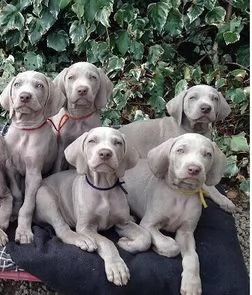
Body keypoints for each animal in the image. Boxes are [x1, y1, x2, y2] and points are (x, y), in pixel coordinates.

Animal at [0, 71, 65, 245]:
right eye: (17, 84)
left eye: (39, 85)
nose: (24, 96)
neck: (25, 130)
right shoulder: (10, 167)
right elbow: (16, 194)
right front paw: (14, 211)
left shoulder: (34, 174)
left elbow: (28, 206)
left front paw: (23, 231)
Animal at [34, 127, 151, 286]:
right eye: (92, 141)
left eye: (117, 142)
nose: (105, 153)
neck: (103, 189)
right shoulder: (85, 228)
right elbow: (106, 242)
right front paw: (117, 267)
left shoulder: (123, 223)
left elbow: (146, 238)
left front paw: (126, 243)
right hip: (46, 197)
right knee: (62, 229)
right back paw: (82, 240)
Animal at [124, 134, 230, 295]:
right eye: (180, 150)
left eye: (207, 154)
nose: (194, 169)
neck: (181, 194)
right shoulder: (148, 224)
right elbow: (172, 245)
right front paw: (159, 248)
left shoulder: (186, 232)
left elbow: (193, 257)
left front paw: (192, 283)